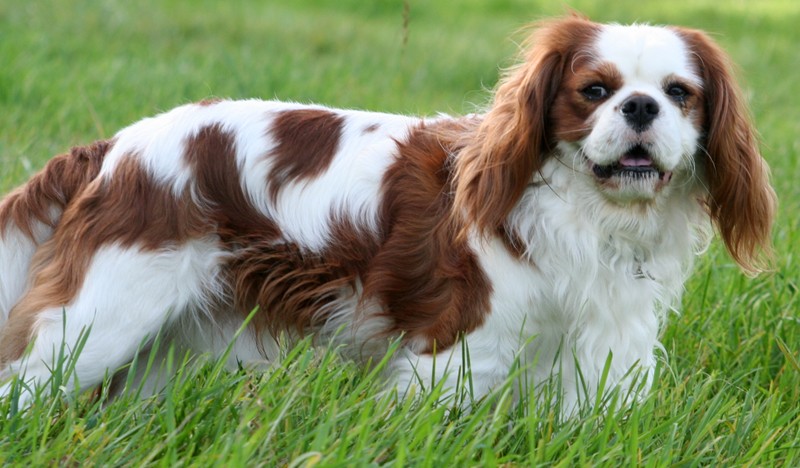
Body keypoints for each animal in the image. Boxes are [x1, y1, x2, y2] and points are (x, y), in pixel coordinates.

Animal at [0, 14, 776, 410]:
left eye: (679, 93)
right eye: (594, 90)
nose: (640, 107)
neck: (583, 209)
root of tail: (115, 147)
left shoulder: (601, 349)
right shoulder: (459, 352)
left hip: (153, 344)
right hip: (100, 320)